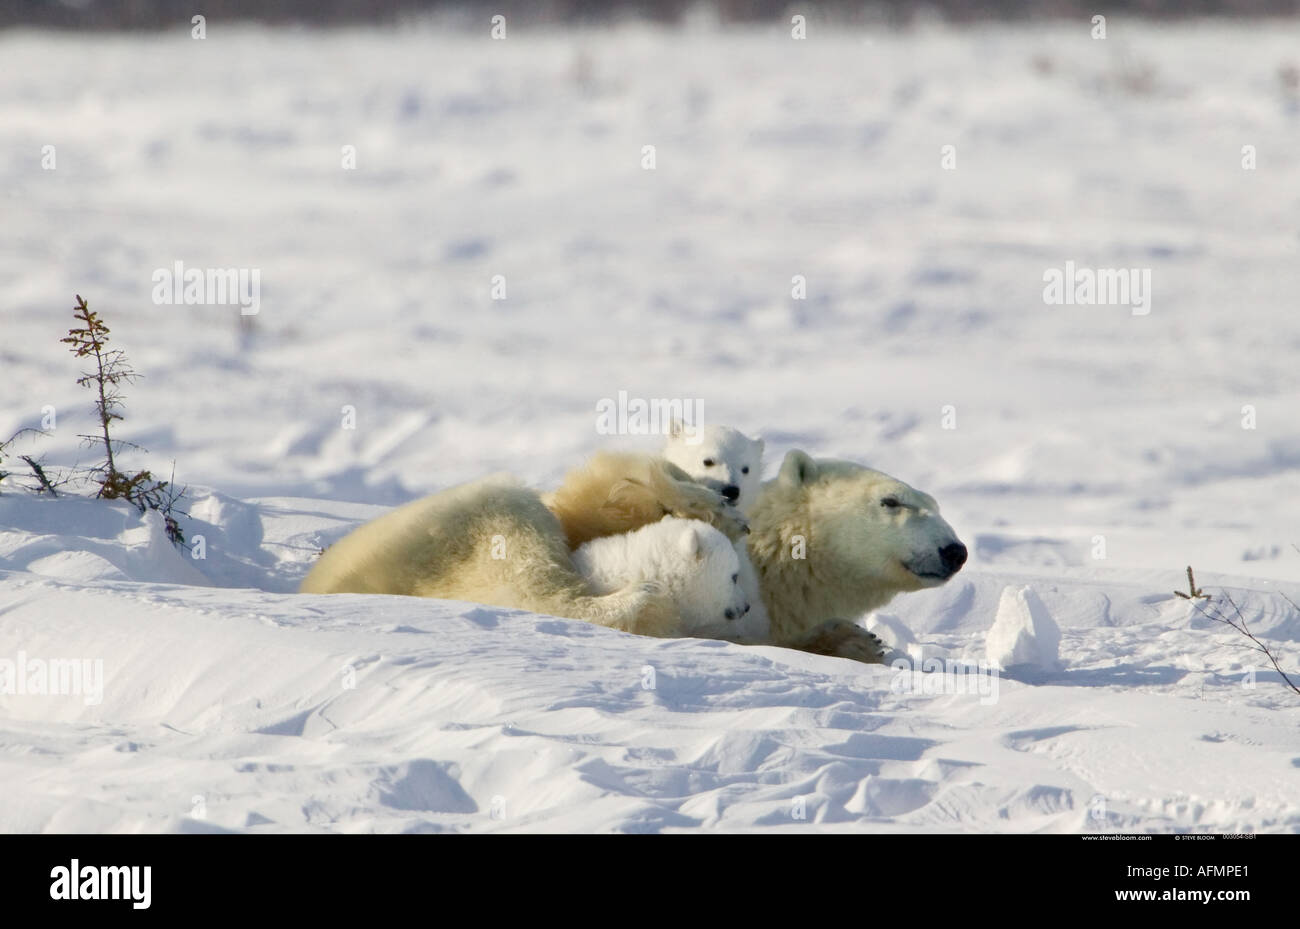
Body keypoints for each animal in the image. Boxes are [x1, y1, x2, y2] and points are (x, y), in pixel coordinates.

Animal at [297, 449, 967, 662]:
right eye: (892, 501)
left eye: (937, 502)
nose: (956, 550)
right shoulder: (586, 509)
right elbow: (612, 487)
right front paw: (712, 507)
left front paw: (860, 641)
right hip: (442, 530)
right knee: (522, 549)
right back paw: (638, 603)